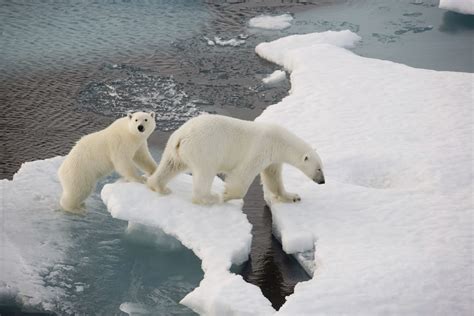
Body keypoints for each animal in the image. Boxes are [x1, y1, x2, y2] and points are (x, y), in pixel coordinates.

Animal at [147, 114, 326, 205]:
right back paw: (211, 198)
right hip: (204, 149)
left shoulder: (272, 158)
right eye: (318, 168)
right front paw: (226, 195)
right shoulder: (261, 148)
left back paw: (159, 186)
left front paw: (293, 196)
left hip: (174, 149)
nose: (322, 181)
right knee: (205, 173)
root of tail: (181, 137)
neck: (279, 141)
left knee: (170, 165)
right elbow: (242, 175)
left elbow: (273, 178)